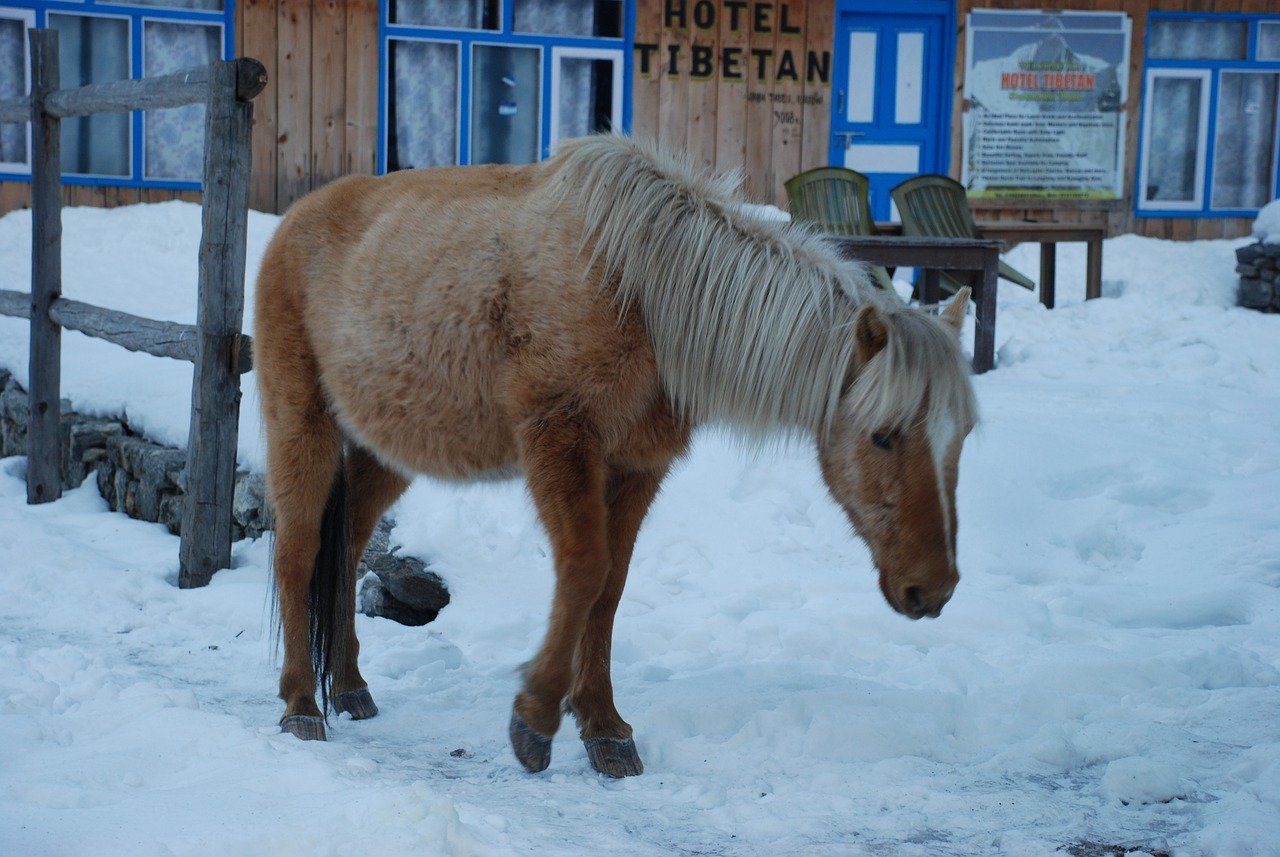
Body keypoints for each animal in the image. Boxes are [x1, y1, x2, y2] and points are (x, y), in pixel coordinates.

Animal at [249, 132, 972, 777]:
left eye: (961, 435)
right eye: (883, 434)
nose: (932, 589)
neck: (638, 289)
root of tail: (293, 224)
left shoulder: (637, 466)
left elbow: (610, 588)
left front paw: (602, 726)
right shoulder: (560, 439)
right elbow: (584, 569)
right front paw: (537, 718)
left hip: (385, 452)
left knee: (345, 552)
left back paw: (349, 686)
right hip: (302, 426)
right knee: (298, 552)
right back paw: (300, 703)